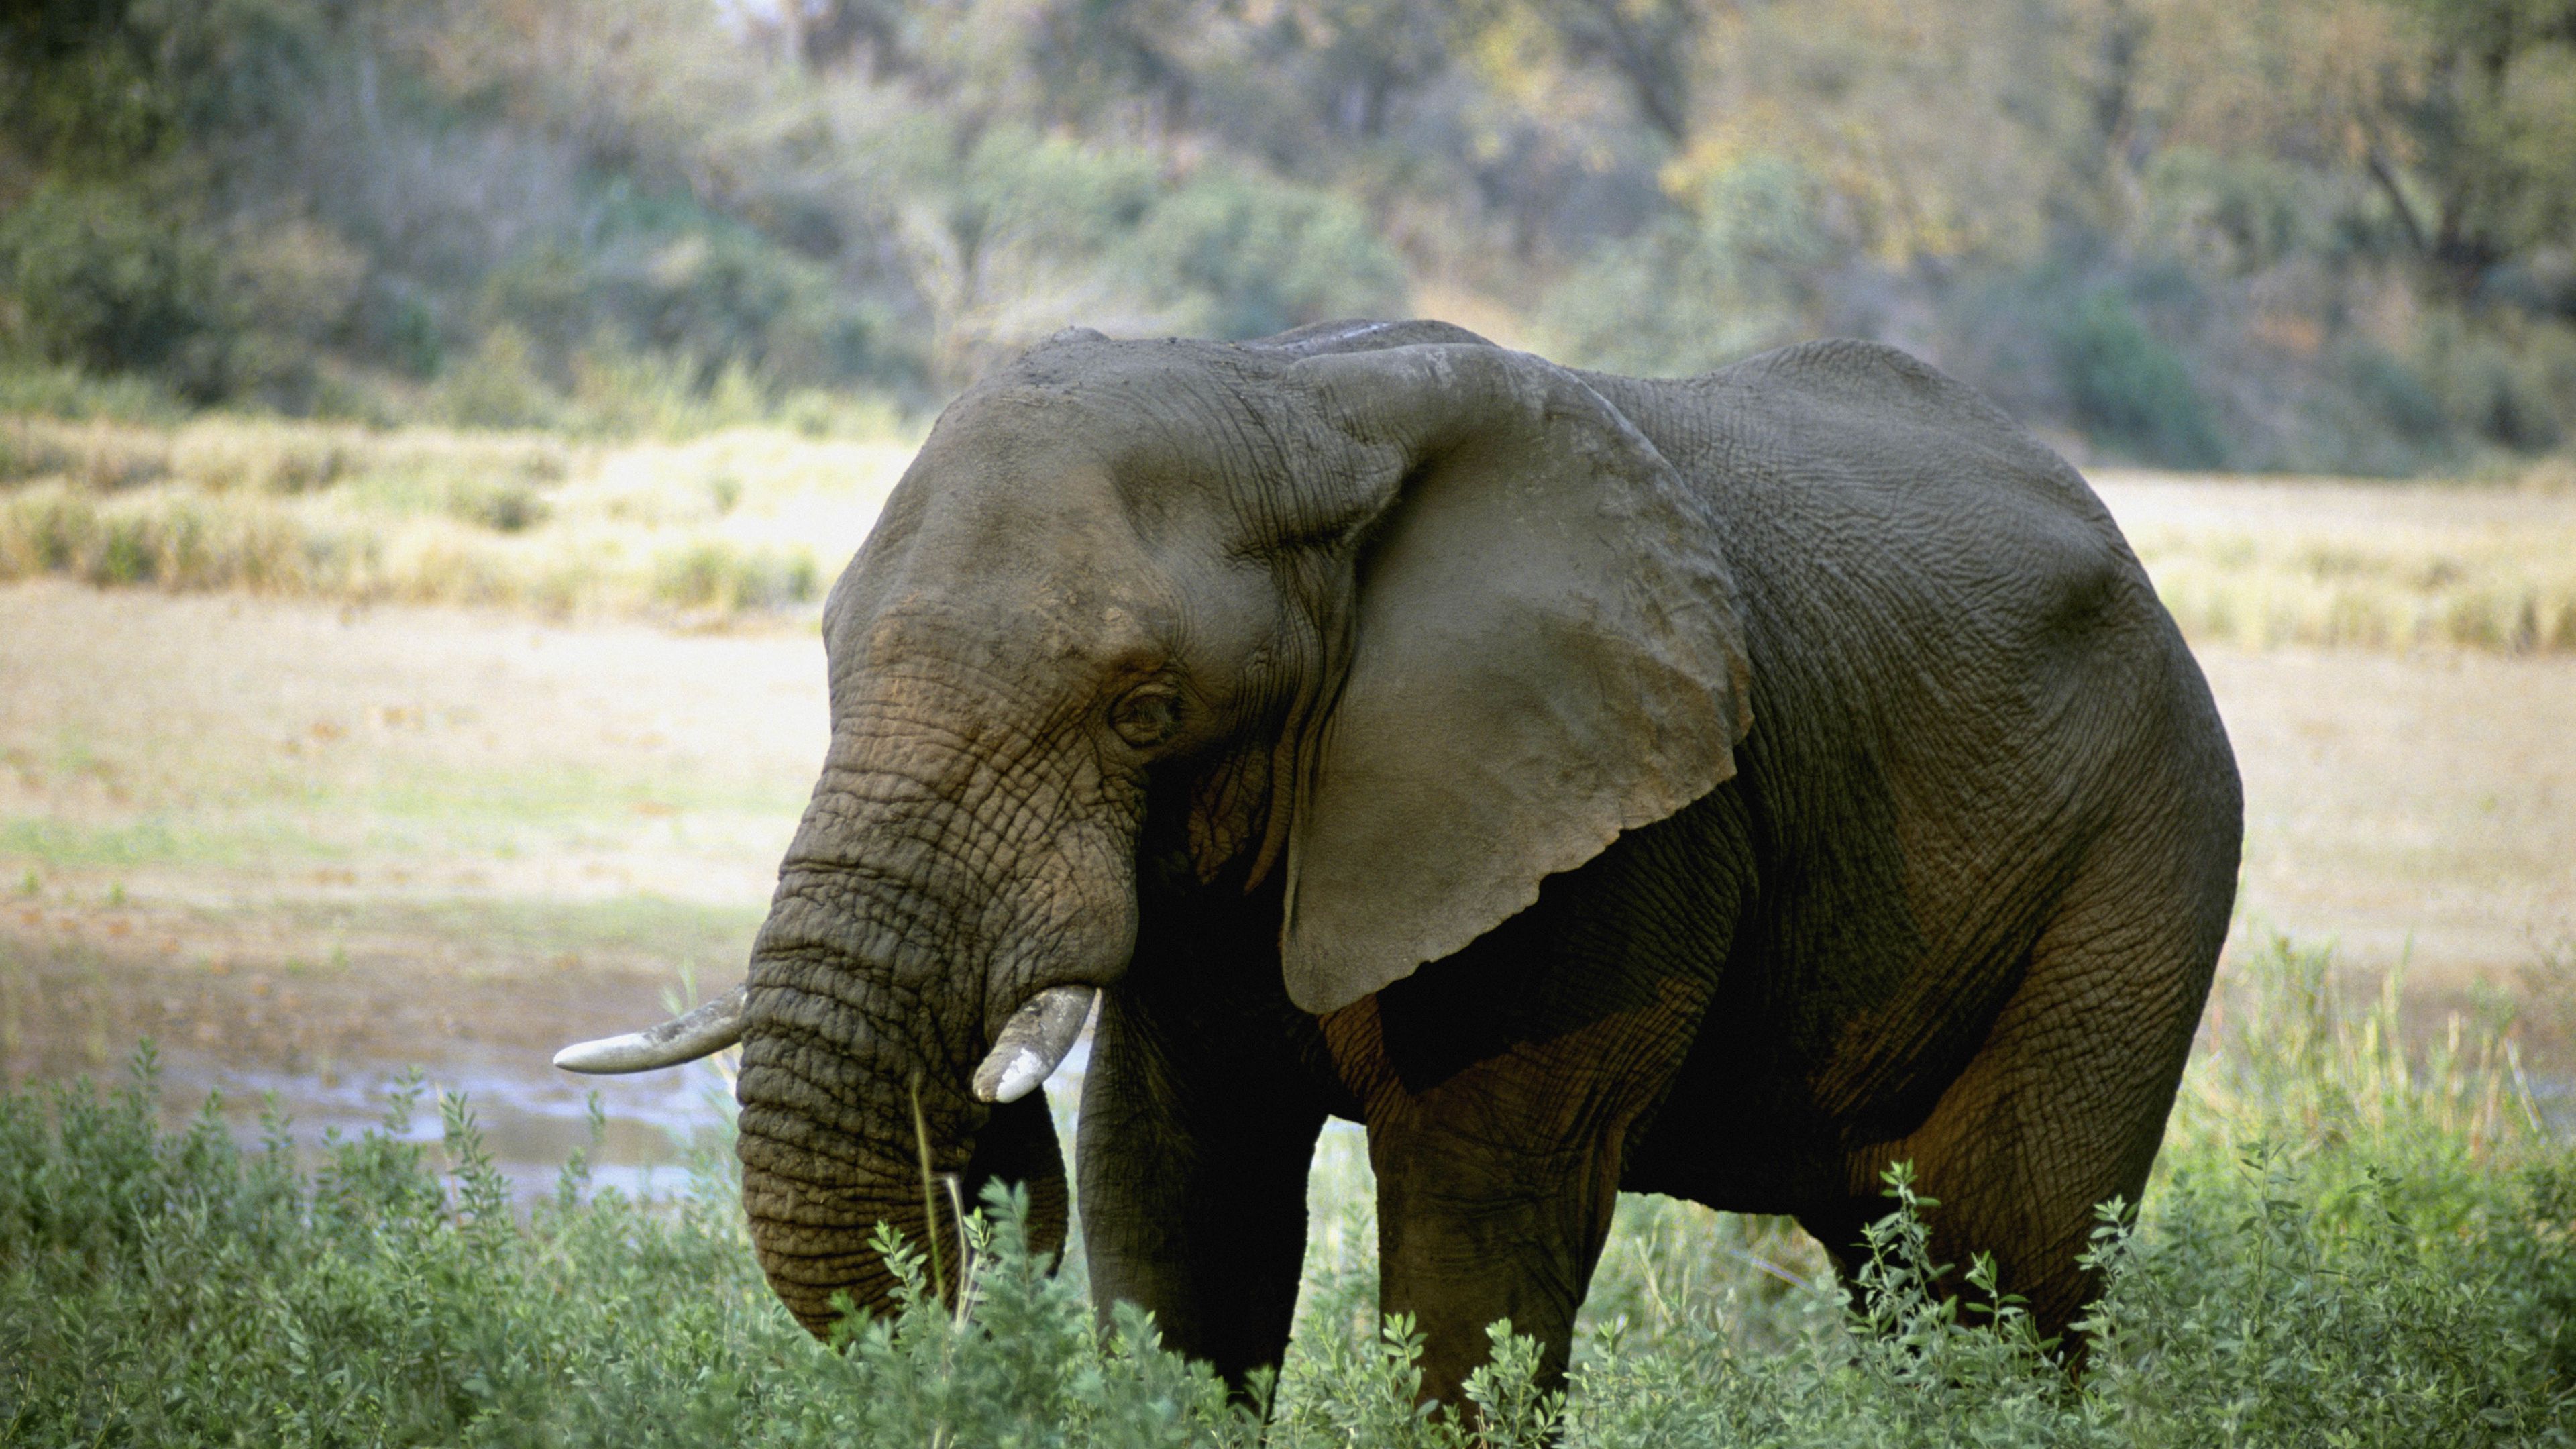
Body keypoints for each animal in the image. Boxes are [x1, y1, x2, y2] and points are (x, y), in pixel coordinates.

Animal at [555, 318, 2242, 1408]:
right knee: (1906, 1282)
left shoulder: (1613, 829)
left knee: (2004, 1269)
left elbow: (1473, 1239)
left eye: (1144, 710)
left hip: (2143, 854)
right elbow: (1178, 1200)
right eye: (830, 654)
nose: (979, 1128)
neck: (1297, 393)